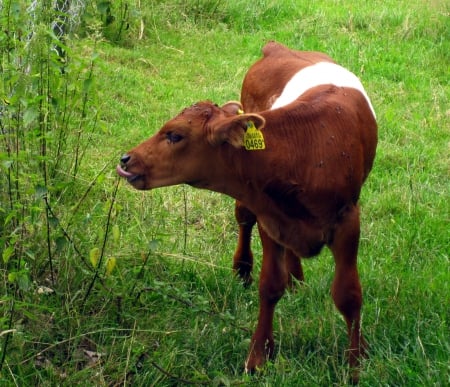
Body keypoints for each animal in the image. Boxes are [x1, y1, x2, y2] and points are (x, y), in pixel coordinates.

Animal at [116, 41, 376, 384]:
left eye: (175, 135)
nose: (126, 159)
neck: (305, 150)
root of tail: (278, 47)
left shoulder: (347, 220)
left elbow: (348, 295)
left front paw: (356, 363)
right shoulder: (269, 214)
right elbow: (270, 286)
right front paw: (258, 357)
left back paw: (297, 280)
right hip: (251, 202)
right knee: (243, 219)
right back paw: (244, 268)